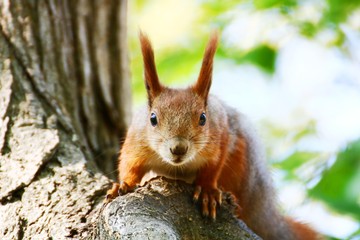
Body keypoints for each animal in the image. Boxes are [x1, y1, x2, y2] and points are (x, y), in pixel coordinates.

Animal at [106, 31, 320, 240]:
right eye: (152, 118)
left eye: (203, 118)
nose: (178, 148)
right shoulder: (136, 142)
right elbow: (129, 165)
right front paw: (123, 184)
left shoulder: (220, 136)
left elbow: (213, 166)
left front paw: (207, 191)